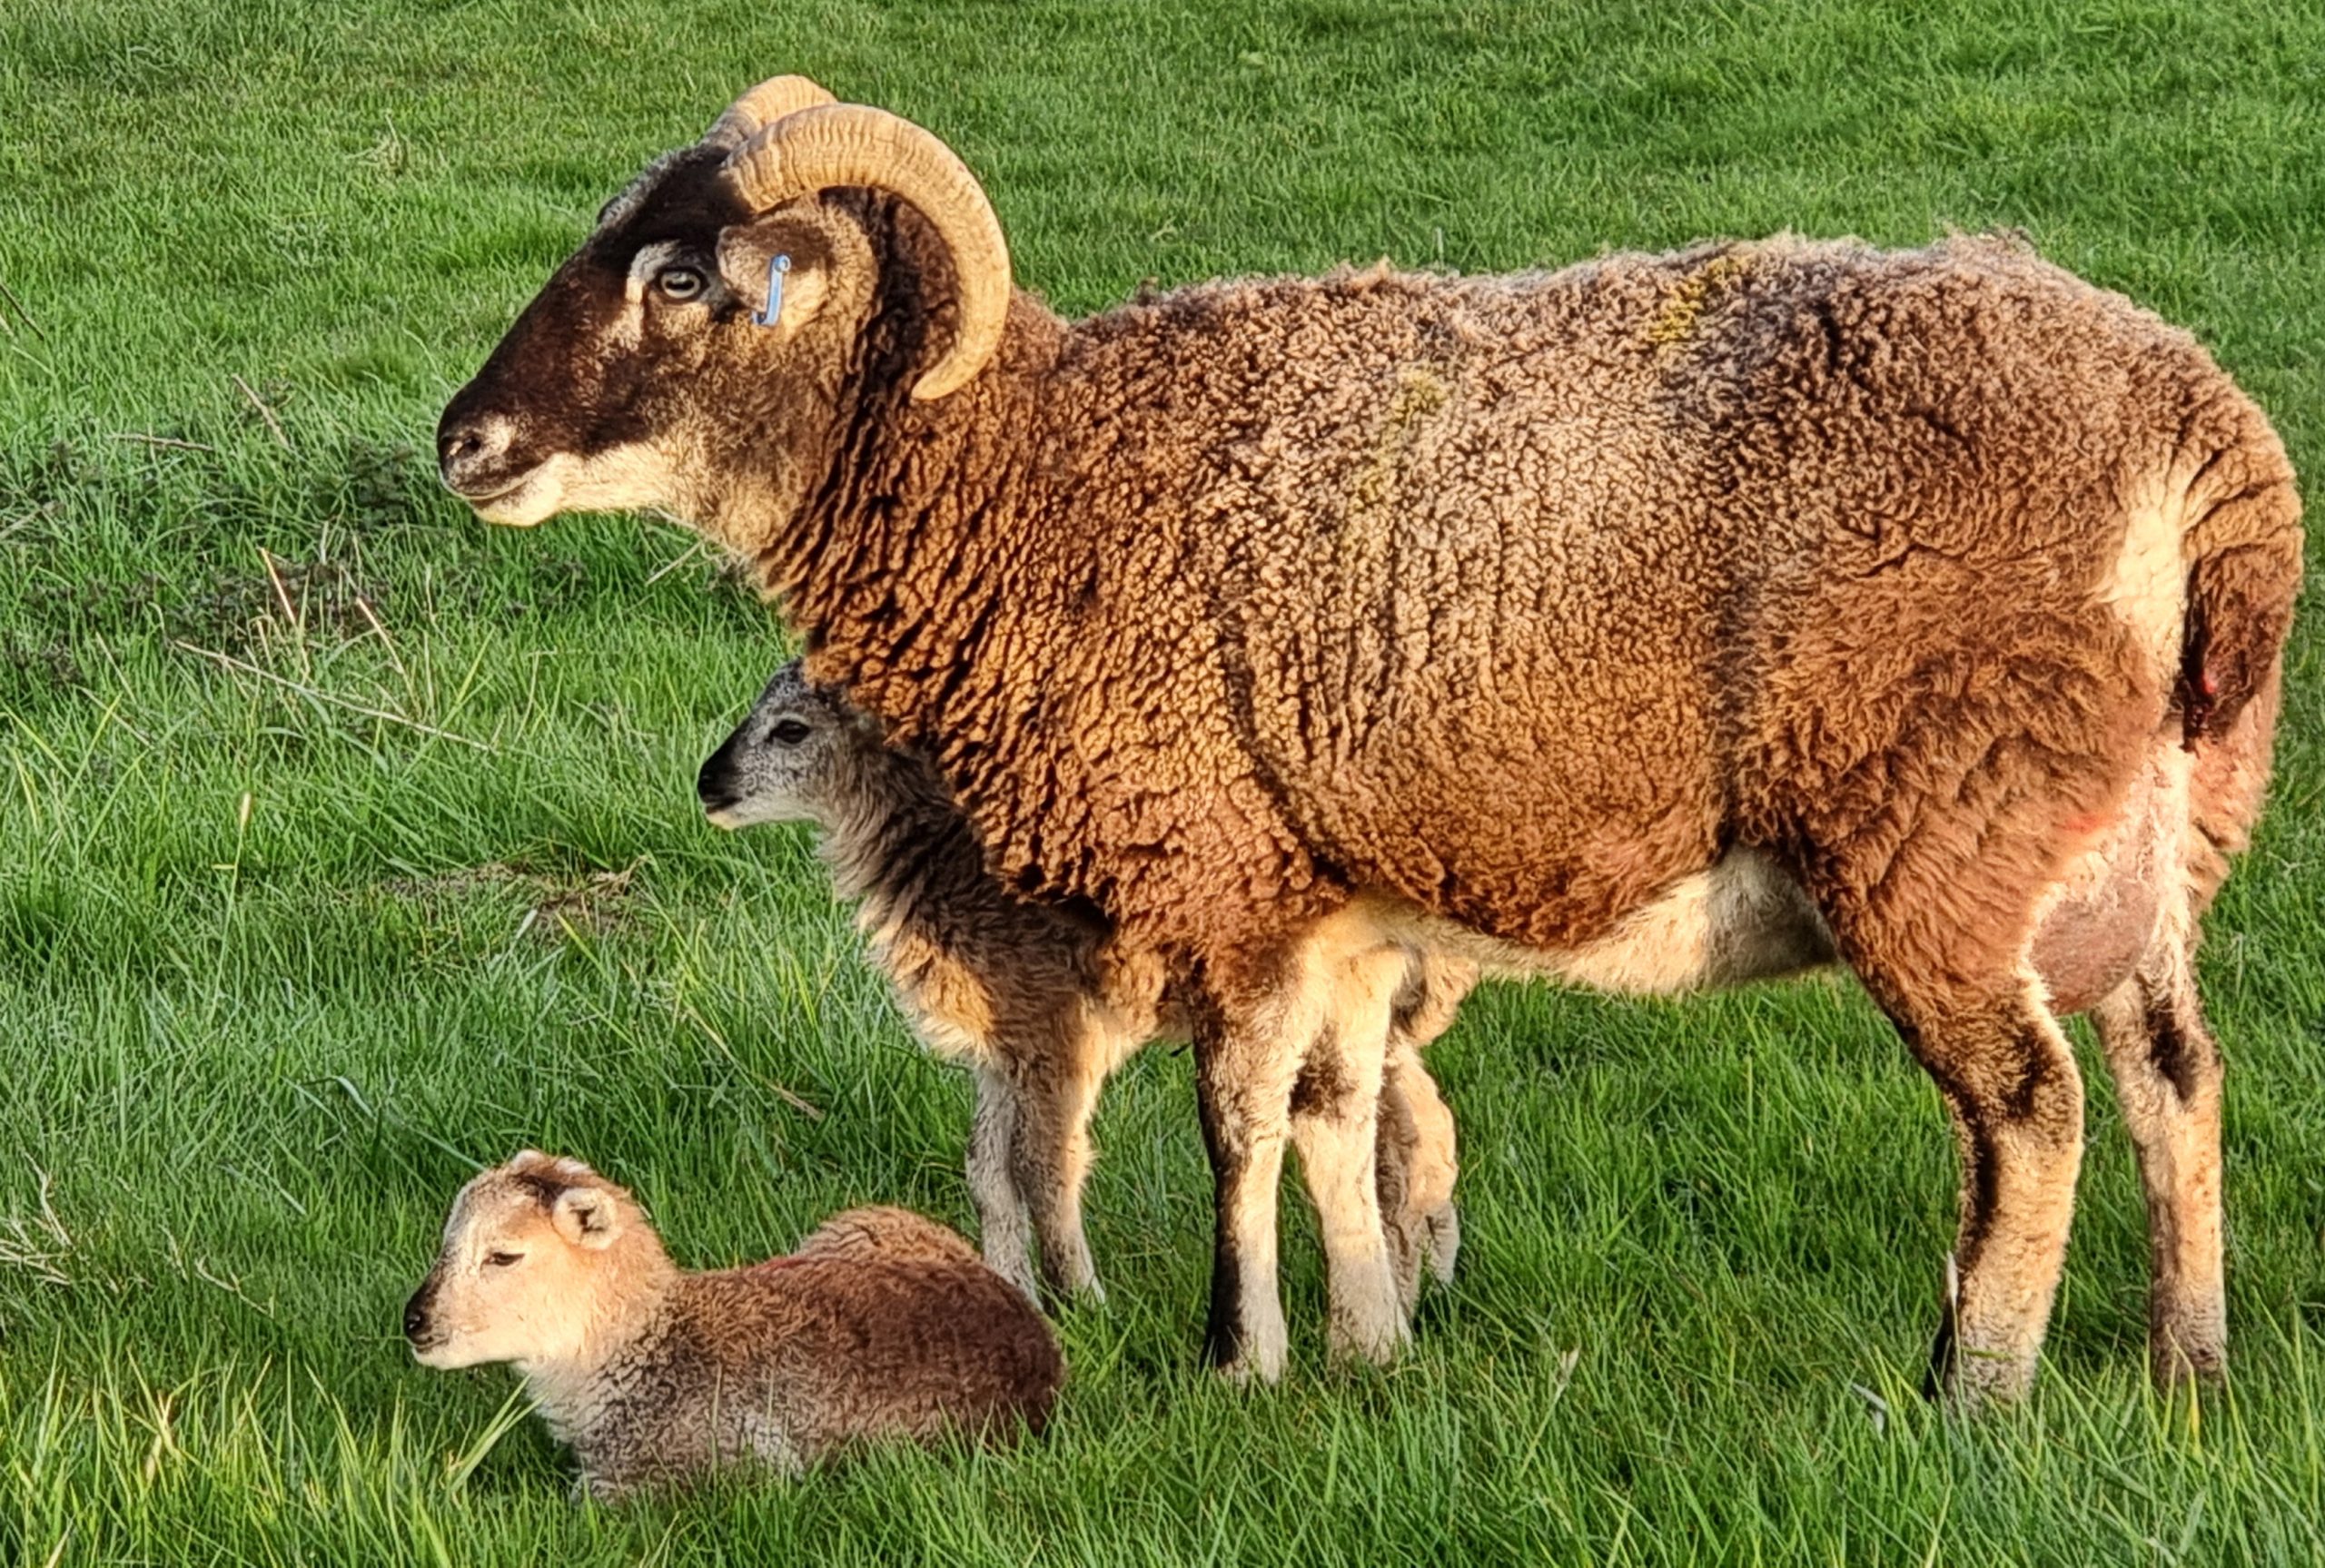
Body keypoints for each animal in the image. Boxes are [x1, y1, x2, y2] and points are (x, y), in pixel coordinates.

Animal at [697, 658, 1470, 1311]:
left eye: (791, 728)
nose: (707, 782)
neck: (941, 860)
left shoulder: (1052, 1020)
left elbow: (1046, 1166)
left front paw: (1082, 1300)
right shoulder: (1003, 1038)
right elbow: (988, 1169)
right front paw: (1013, 1290)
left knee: (1401, 1137)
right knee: (1424, 1120)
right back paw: (1432, 1277)